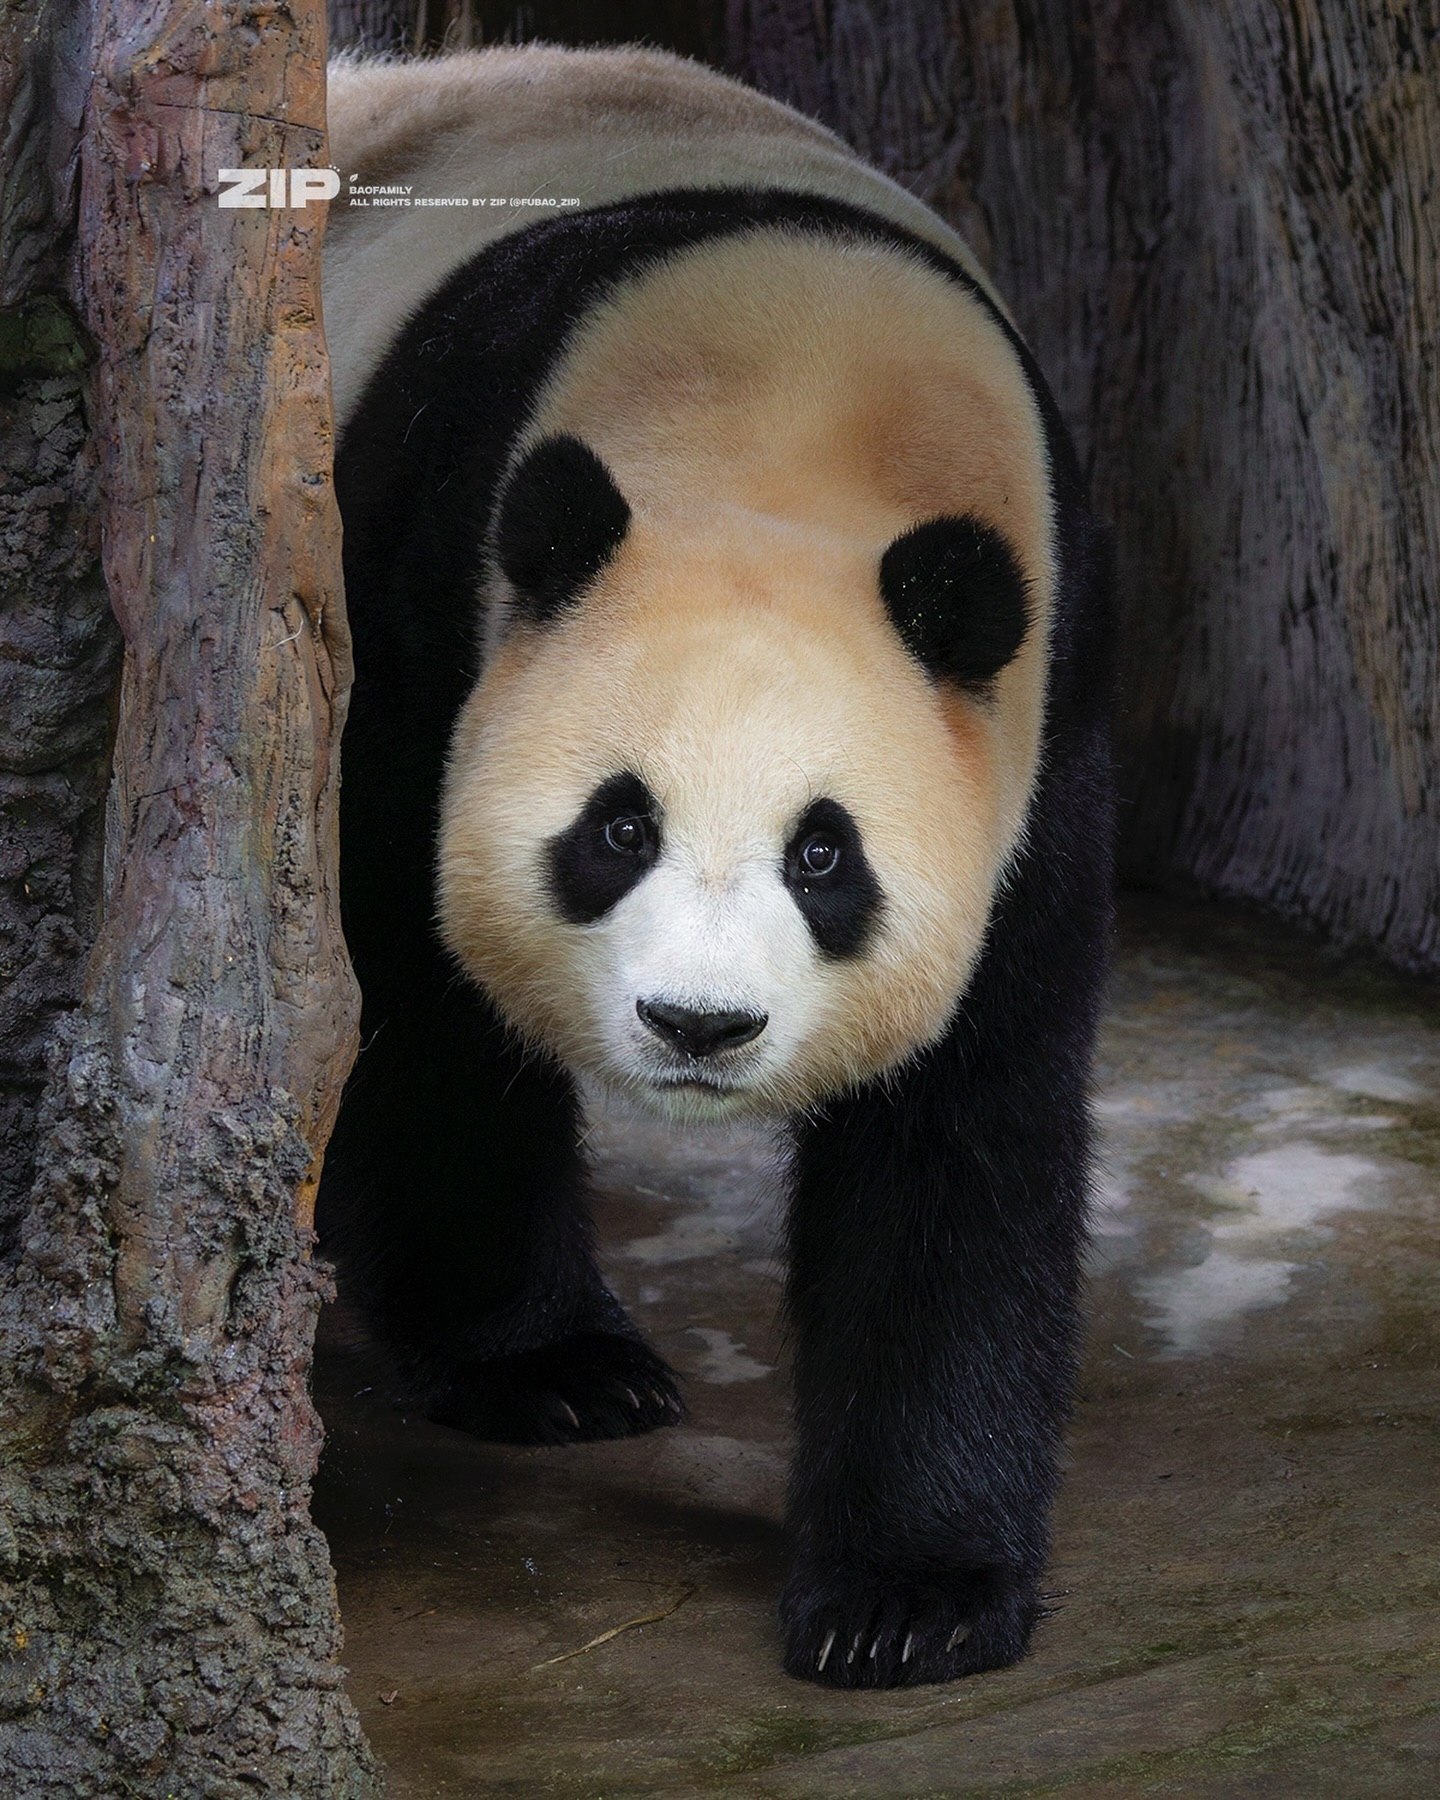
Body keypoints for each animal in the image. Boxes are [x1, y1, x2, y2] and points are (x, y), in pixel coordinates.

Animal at [324, 49, 1116, 1692]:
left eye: (826, 856)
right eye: (618, 828)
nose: (698, 1027)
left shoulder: (1042, 707)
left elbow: (966, 1119)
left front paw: (908, 1597)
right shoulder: (423, 593)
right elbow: (413, 1003)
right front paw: (552, 1368)